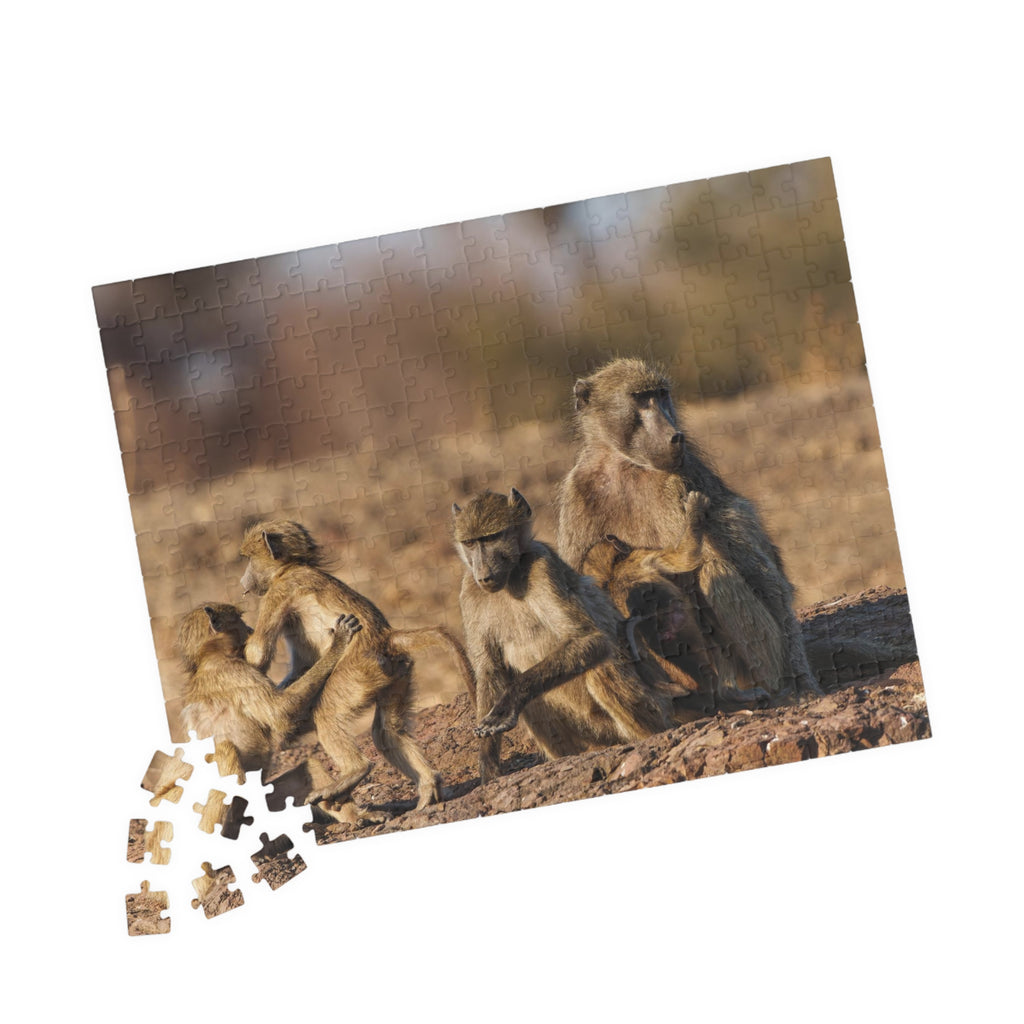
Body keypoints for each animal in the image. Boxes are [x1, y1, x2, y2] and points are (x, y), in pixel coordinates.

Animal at [178, 603, 362, 787]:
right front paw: (338, 643)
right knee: (225, 748)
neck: (207, 656)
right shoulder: (234, 670)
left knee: (309, 768)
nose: (250, 629)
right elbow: (280, 713)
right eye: (240, 620)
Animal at [239, 520, 477, 822]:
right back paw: (427, 789)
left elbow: (258, 654)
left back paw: (355, 772)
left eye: (249, 559)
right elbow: (301, 665)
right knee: (387, 733)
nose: (242, 582)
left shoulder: (279, 591)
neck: (292, 567)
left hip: (357, 672)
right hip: (396, 674)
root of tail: (386, 636)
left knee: (327, 714)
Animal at [452, 488, 682, 783]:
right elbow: (490, 671)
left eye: (491, 538)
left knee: (601, 668)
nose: (484, 573)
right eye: (470, 543)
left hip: (648, 707)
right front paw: (489, 769)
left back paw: (649, 738)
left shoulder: (542, 568)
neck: (511, 578)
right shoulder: (469, 591)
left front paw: (508, 703)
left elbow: (591, 640)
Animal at [557, 357, 823, 701]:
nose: (675, 437)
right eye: (640, 398)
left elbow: (748, 574)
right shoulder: (576, 494)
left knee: (715, 571)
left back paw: (780, 689)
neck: (624, 465)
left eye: (661, 395)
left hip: (738, 665)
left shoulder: (679, 484)